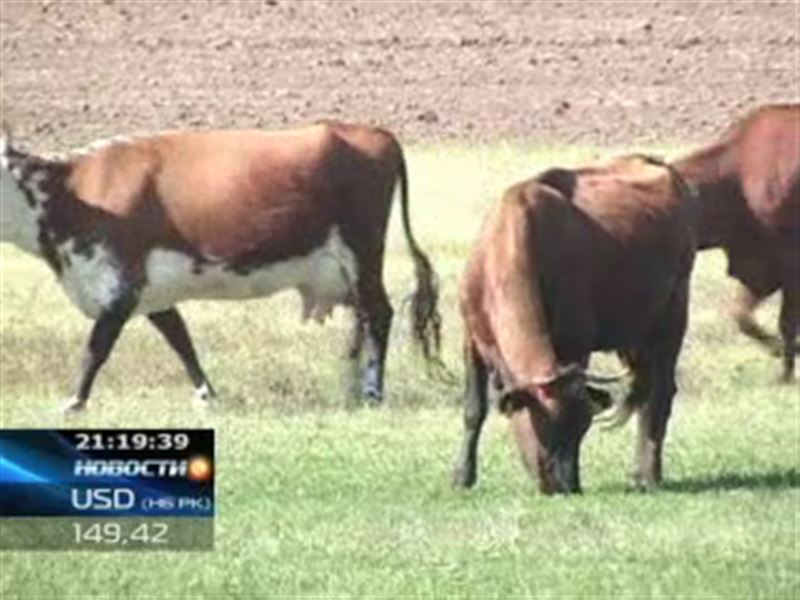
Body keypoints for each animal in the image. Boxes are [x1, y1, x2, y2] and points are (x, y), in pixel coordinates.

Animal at [0, 122, 440, 412]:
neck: (69, 195)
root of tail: (372, 131)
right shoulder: (150, 291)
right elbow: (180, 341)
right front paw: (207, 394)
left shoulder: (120, 284)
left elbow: (96, 348)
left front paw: (74, 402)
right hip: (343, 269)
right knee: (362, 319)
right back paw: (351, 386)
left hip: (362, 251)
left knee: (379, 314)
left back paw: (372, 392)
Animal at [454, 154, 696, 492]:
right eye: (544, 429)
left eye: (582, 429)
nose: (565, 486)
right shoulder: (472, 337)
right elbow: (473, 409)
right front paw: (462, 476)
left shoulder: (576, 341)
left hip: (673, 312)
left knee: (660, 394)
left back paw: (649, 475)